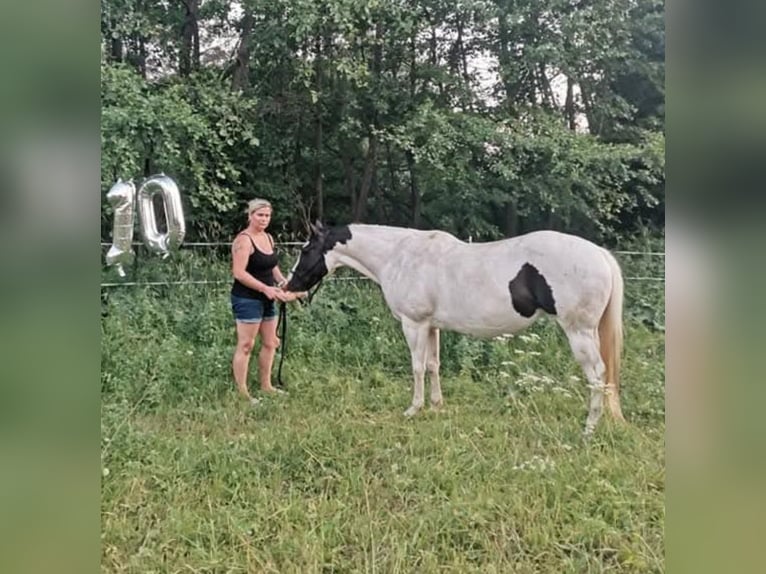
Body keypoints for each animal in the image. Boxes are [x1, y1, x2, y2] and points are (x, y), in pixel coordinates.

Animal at [285, 222, 625, 434]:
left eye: (306, 250)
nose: (289, 286)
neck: (399, 255)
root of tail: (599, 254)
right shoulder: (431, 326)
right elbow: (433, 365)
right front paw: (437, 406)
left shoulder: (414, 324)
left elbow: (417, 367)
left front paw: (414, 409)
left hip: (579, 332)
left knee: (597, 375)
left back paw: (589, 428)